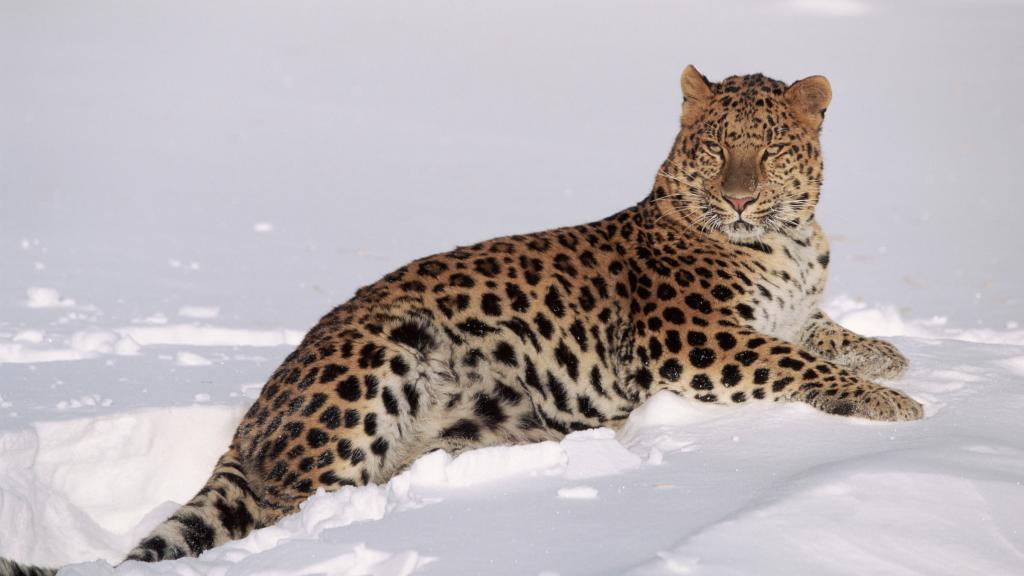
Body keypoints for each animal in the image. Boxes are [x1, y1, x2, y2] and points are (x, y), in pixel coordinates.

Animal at [0, 66, 922, 576]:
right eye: (714, 148)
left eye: (768, 151)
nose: (737, 197)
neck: (790, 242)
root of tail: (255, 414)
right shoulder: (692, 341)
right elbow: (794, 364)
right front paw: (896, 407)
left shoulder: (789, 311)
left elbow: (823, 334)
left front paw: (890, 357)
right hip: (381, 354)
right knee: (288, 510)